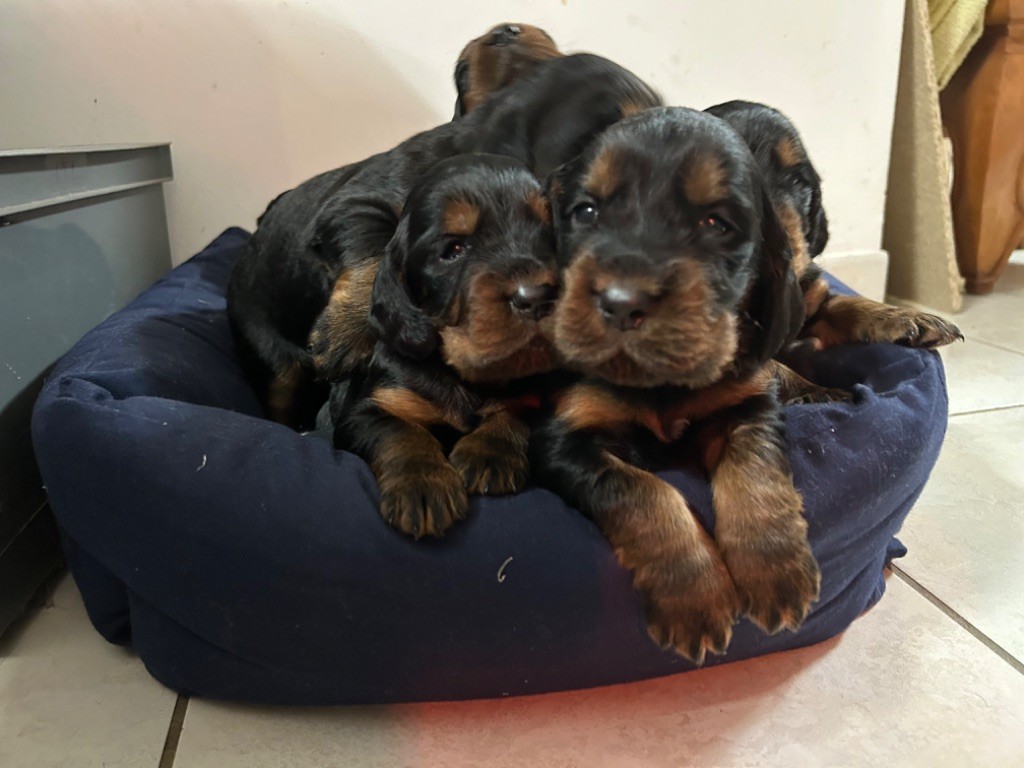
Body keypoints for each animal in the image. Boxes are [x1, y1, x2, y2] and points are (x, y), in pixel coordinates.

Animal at [325, 154, 561, 540]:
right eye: (453, 250)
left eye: (548, 234)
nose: (538, 297)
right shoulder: (363, 412)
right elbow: (400, 431)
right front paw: (423, 485)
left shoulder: (532, 395)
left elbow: (514, 412)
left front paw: (489, 453)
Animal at [536, 108, 815, 667]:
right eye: (586, 211)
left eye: (716, 223)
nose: (622, 303)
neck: (660, 380)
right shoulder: (567, 440)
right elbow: (644, 491)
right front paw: (694, 594)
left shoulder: (748, 405)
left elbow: (753, 467)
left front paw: (774, 566)